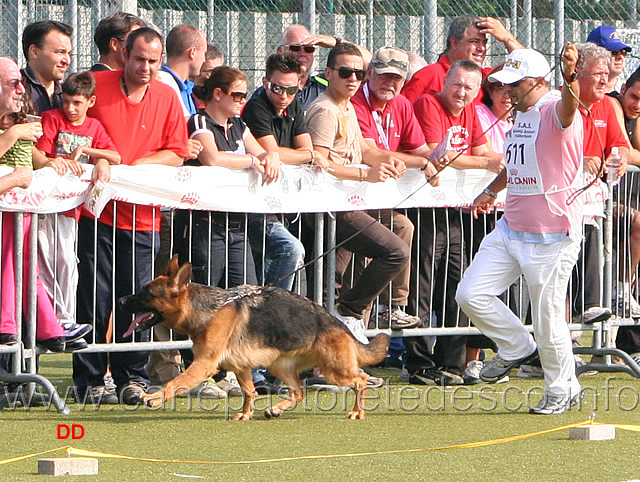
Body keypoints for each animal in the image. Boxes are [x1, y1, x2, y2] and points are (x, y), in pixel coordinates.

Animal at [120, 256, 390, 418]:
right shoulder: (240, 366)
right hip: (279, 366)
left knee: (360, 380)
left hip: (335, 370)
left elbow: (174, 383)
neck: (210, 309)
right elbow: (250, 392)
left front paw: (154, 398)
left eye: (146, 293)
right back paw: (276, 409)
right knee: (298, 392)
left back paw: (357, 411)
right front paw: (246, 413)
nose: (121, 300)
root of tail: (337, 322)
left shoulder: (204, 365)